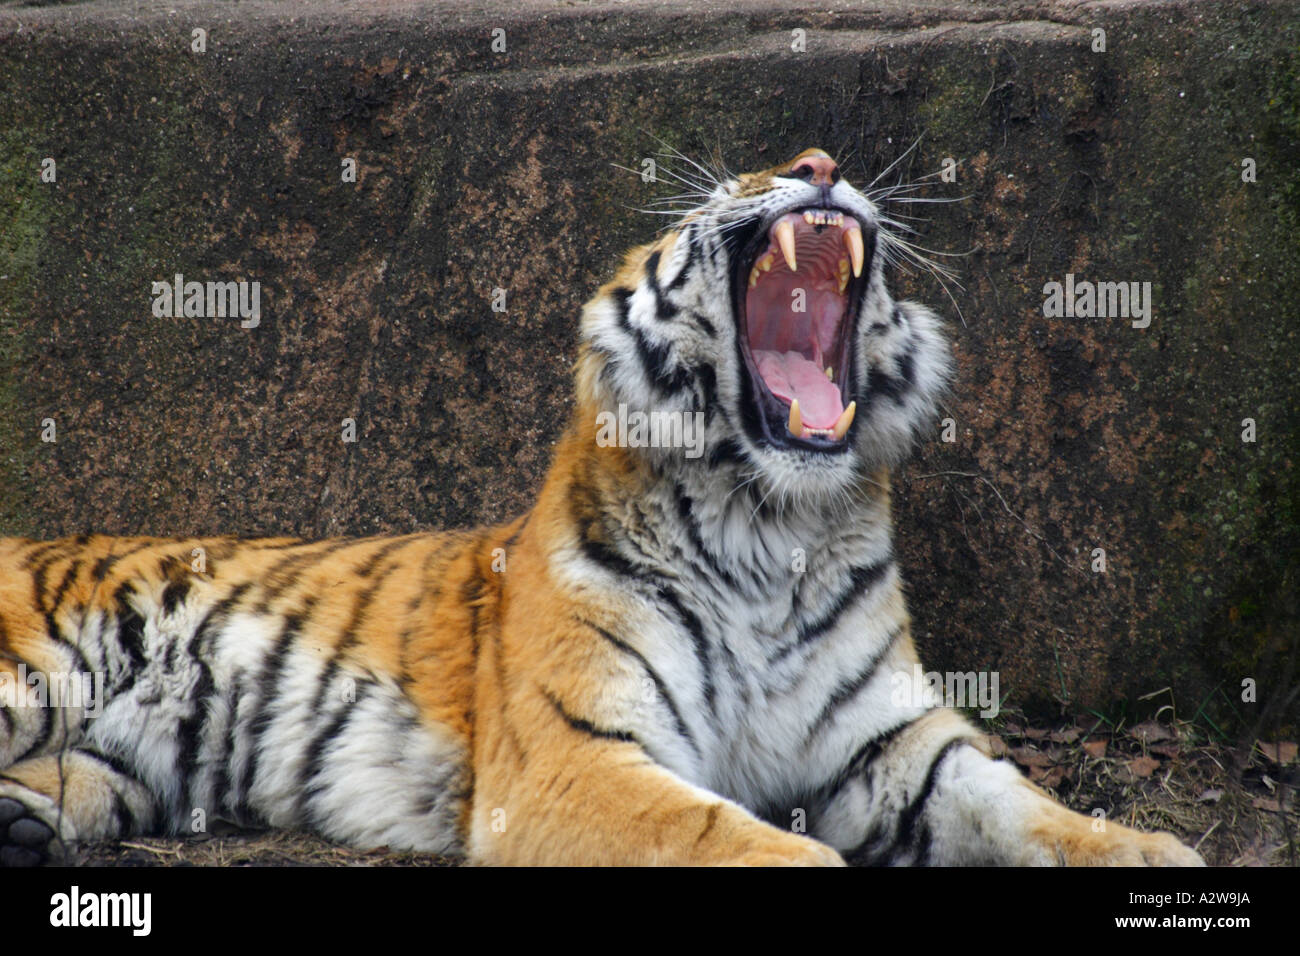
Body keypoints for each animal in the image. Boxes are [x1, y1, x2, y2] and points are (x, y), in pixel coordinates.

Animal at [0, 147, 1201, 868]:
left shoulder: (894, 742)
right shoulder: (574, 756)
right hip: (32, 673)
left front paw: (1149, 853)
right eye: (734, 182)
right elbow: (745, 841)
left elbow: (1022, 801)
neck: (771, 526)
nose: (818, 165)